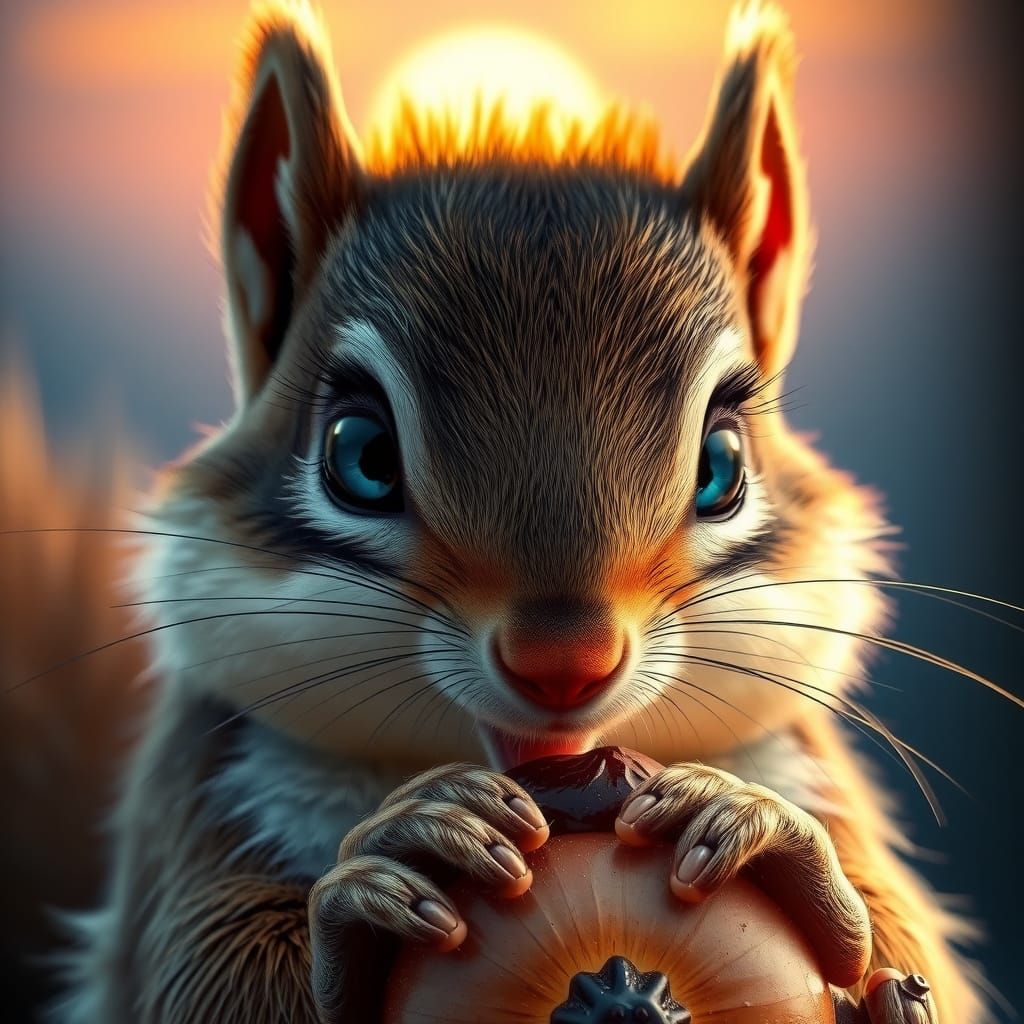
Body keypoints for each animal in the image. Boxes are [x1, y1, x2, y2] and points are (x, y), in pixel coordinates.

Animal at [0, 1, 990, 1021]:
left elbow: (913, 949)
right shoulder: (209, 799)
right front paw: (384, 868)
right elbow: (207, 982)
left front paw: (766, 829)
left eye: (722, 464)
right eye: (360, 455)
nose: (566, 664)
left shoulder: (809, 767)